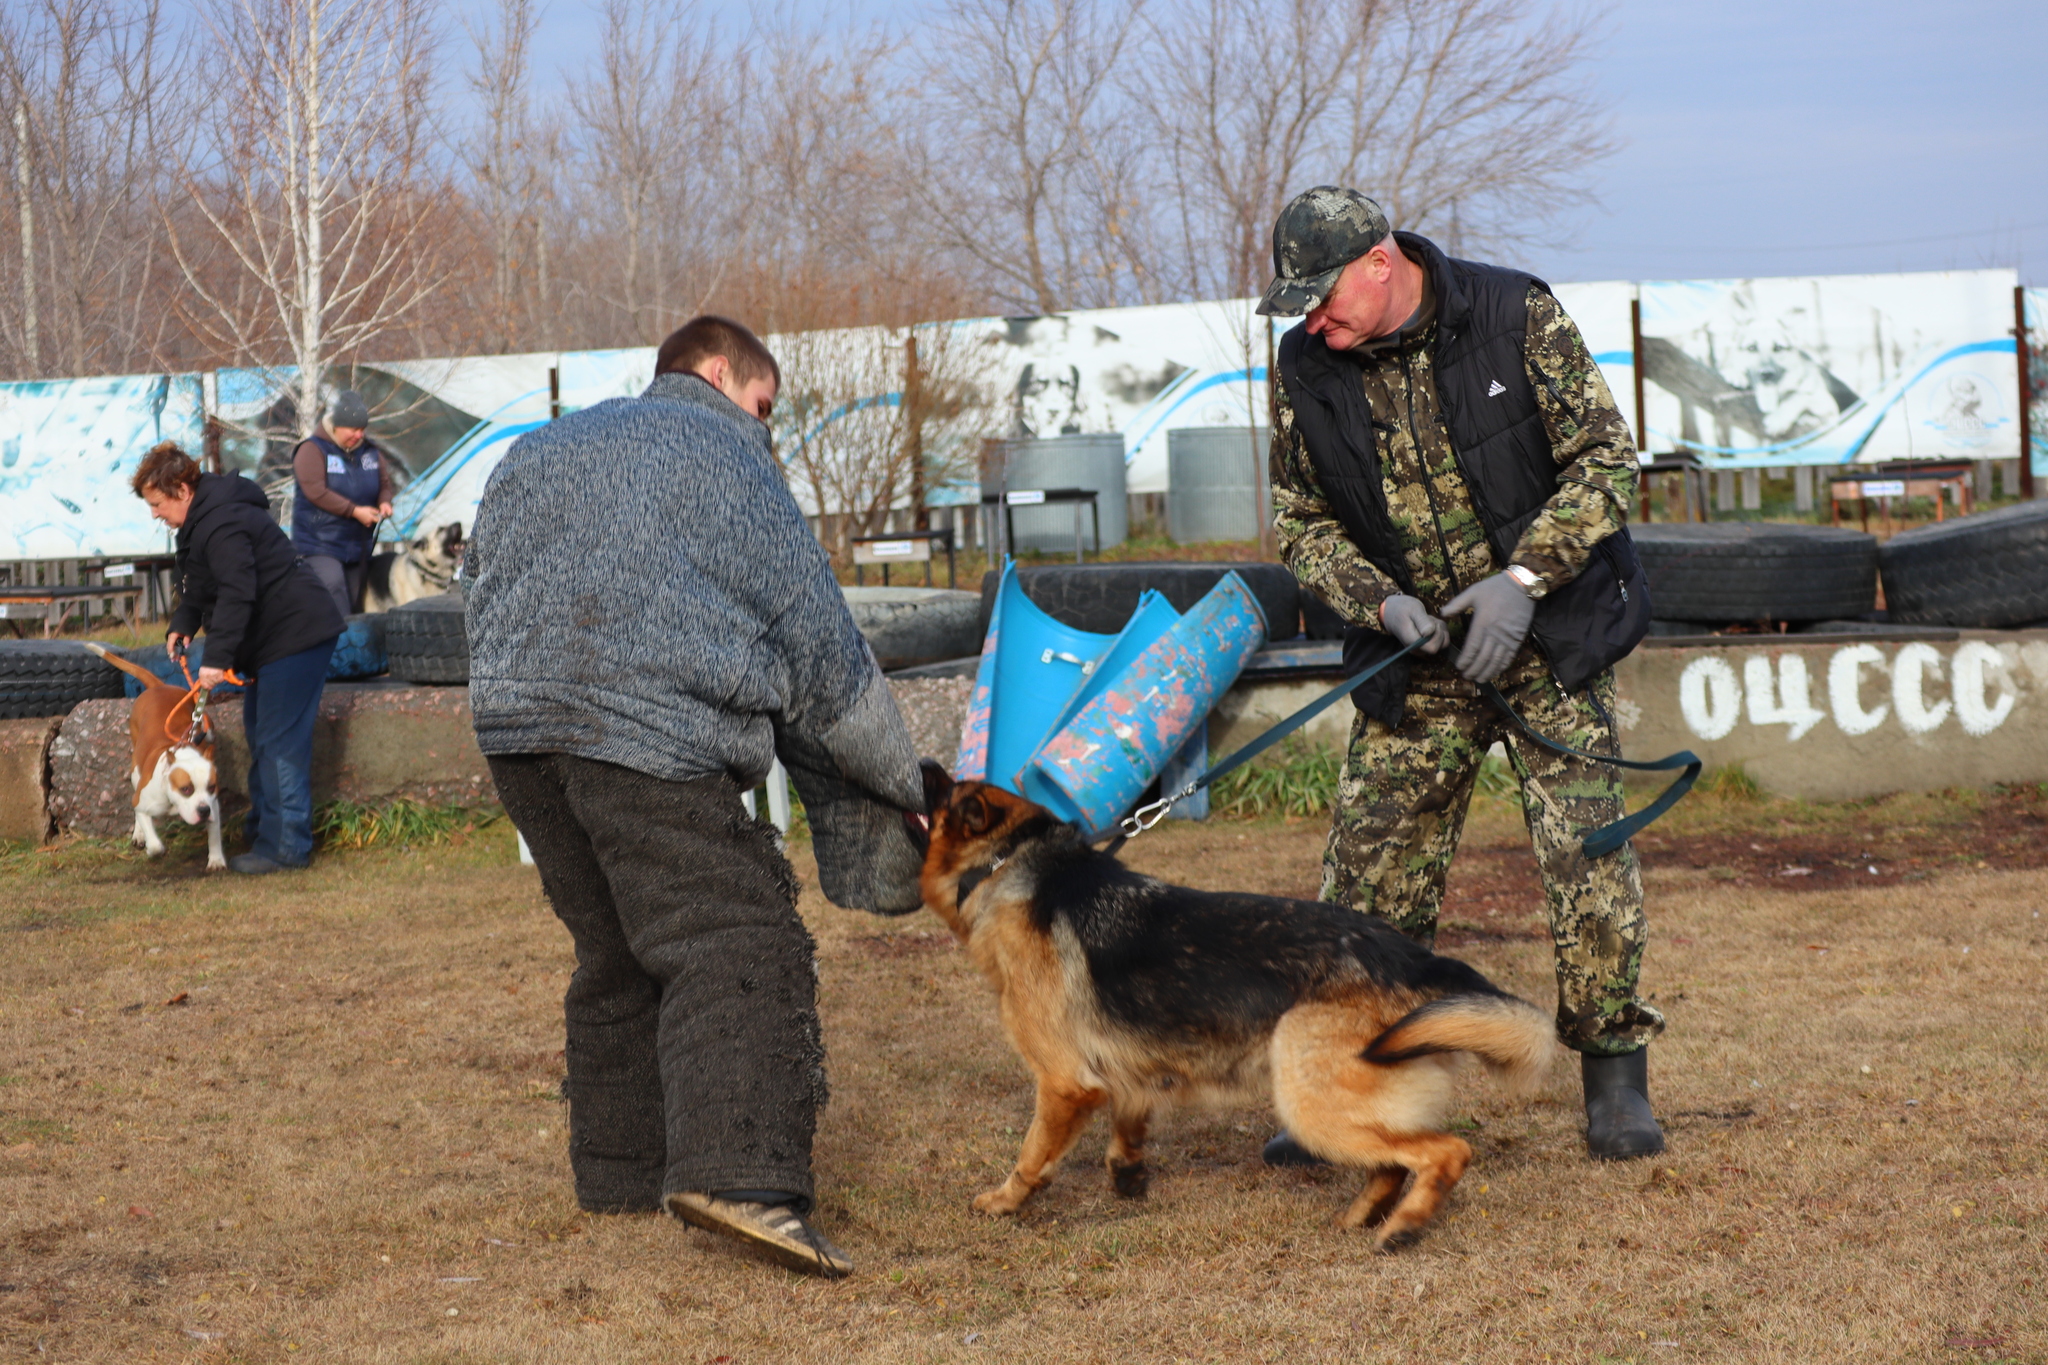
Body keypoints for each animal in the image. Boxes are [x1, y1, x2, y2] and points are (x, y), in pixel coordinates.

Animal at [81, 642, 224, 871]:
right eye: (186, 789)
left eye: (212, 787)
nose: (203, 810)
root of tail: (158, 686)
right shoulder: (142, 804)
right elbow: (154, 842)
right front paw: (151, 847)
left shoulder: (214, 807)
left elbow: (214, 834)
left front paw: (217, 859)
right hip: (135, 774)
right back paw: (139, 835)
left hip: (204, 720)